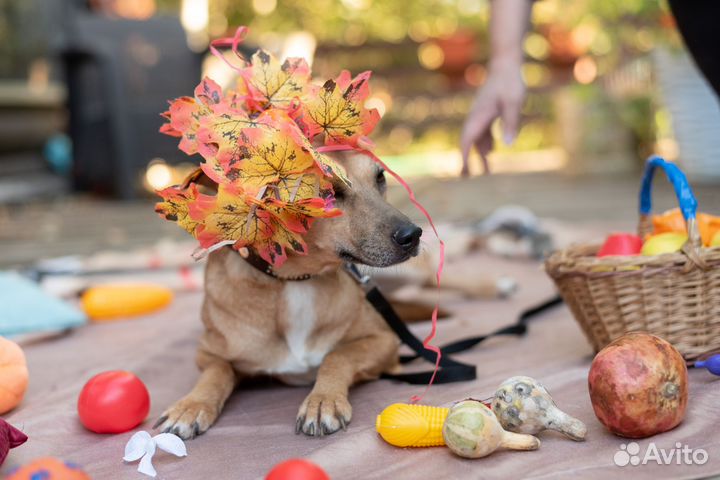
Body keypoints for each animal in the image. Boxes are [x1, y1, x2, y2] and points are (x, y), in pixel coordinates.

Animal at [155, 151, 420, 438]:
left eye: (380, 177)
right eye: (327, 192)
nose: (413, 235)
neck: (295, 280)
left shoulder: (385, 341)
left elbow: (338, 355)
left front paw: (323, 400)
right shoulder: (207, 354)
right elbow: (216, 371)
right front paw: (191, 405)